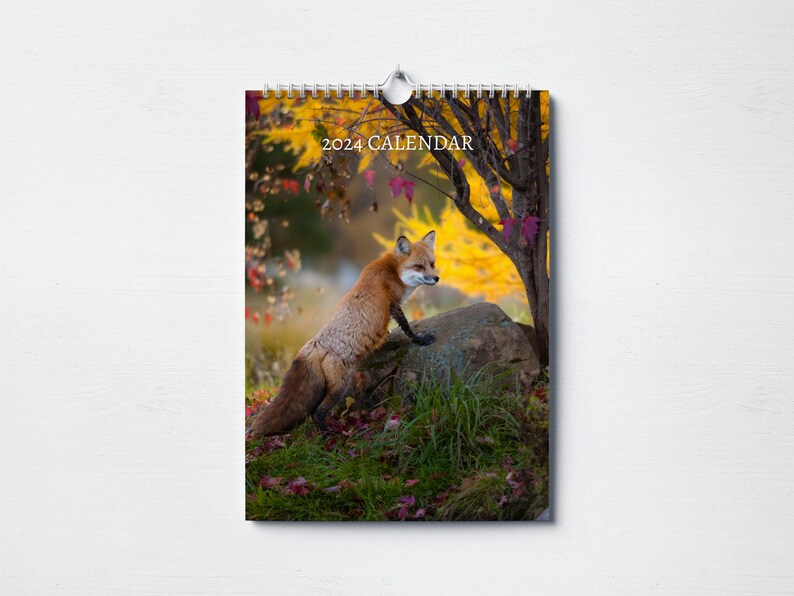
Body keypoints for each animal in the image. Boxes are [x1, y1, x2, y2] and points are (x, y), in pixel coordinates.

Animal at [250, 231, 440, 436]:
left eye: (432, 264)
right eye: (419, 266)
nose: (436, 278)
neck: (392, 271)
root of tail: (314, 344)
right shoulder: (393, 305)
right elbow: (406, 327)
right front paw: (420, 340)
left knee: (312, 411)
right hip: (341, 386)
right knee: (317, 411)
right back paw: (326, 435)